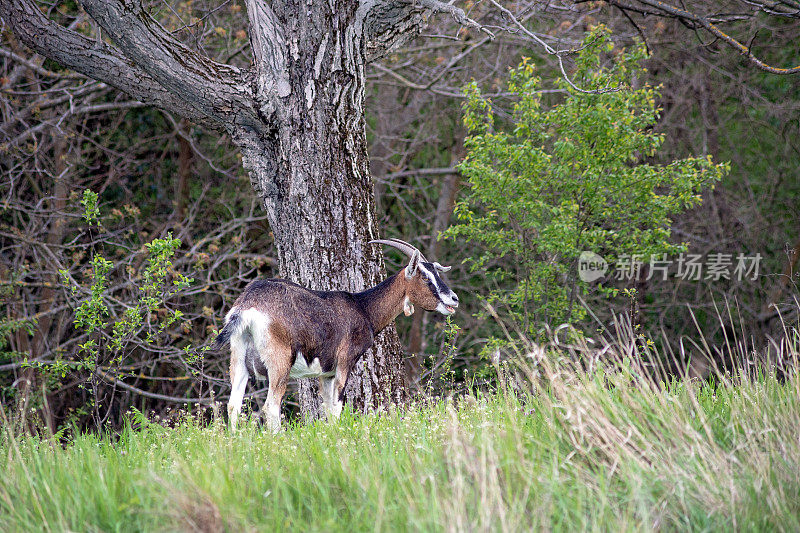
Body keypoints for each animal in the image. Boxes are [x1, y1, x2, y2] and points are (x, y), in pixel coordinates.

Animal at [216, 239, 460, 430]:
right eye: (425, 278)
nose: (454, 299)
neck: (362, 307)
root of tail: (247, 306)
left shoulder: (326, 373)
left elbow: (327, 407)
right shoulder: (345, 361)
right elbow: (337, 405)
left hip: (238, 356)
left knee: (233, 404)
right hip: (280, 360)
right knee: (271, 406)